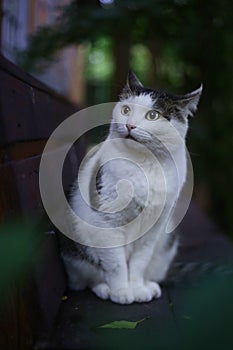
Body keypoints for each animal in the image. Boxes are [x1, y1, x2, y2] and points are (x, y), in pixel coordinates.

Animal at [60, 70, 202, 304]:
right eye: (126, 110)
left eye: (153, 115)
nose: (130, 125)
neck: (146, 165)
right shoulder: (107, 222)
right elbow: (116, 264)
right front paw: (121, 291)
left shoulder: (155, 227)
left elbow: (139, 261)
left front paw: (137, 288)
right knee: (85, 280)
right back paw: (104, 289)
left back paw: (149, 285)